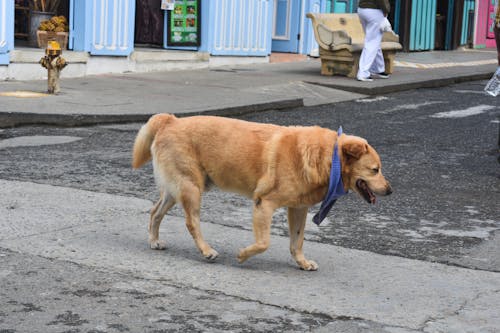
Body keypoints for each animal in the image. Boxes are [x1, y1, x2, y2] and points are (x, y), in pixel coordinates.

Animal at [132, 113, 390, 270]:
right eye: (375, 169)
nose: (390, 190)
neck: (328, 157)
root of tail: (170, 120)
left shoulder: (298, 209)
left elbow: (297, 242)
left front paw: (302, 262)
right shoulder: (263, 204)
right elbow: (264, 242)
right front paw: (243, 255)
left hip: (175, 190)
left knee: (155, 212)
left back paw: (154, 241)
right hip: (191, 189)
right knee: (191, 222)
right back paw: (206, 251)